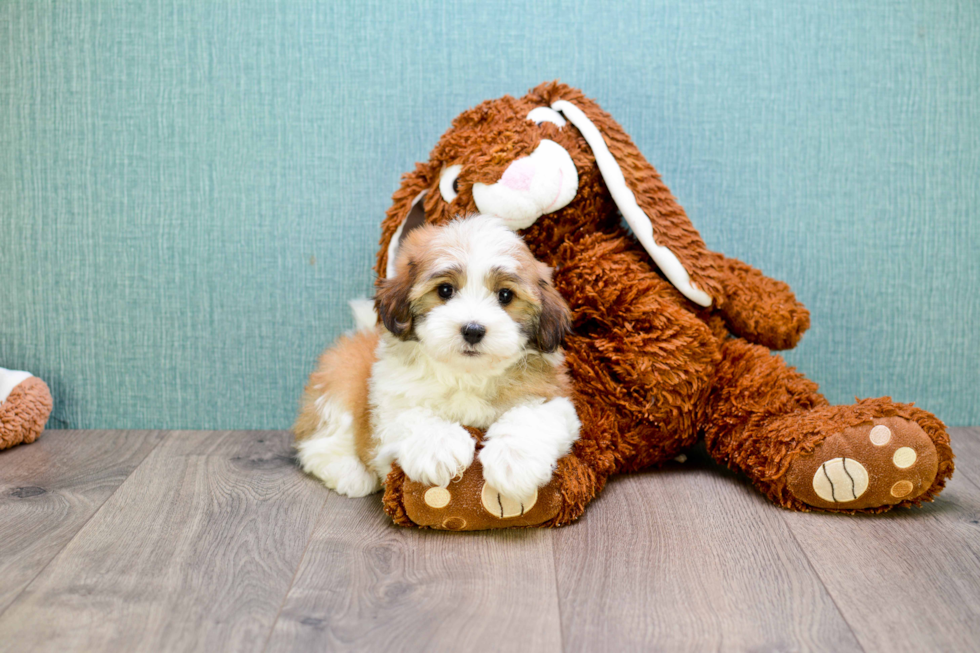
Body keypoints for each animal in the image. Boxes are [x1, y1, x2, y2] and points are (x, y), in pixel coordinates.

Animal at [294, 214, 580, 500]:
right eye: (445, 290)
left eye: (505, 295)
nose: (473, 330)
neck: (467, 375)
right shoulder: (388, 403)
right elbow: (409, 415)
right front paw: (440, 447)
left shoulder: (555, 399)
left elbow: (531, 416)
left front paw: (514, 460)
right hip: (340, 383)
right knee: (318, 442)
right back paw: (350, 473)